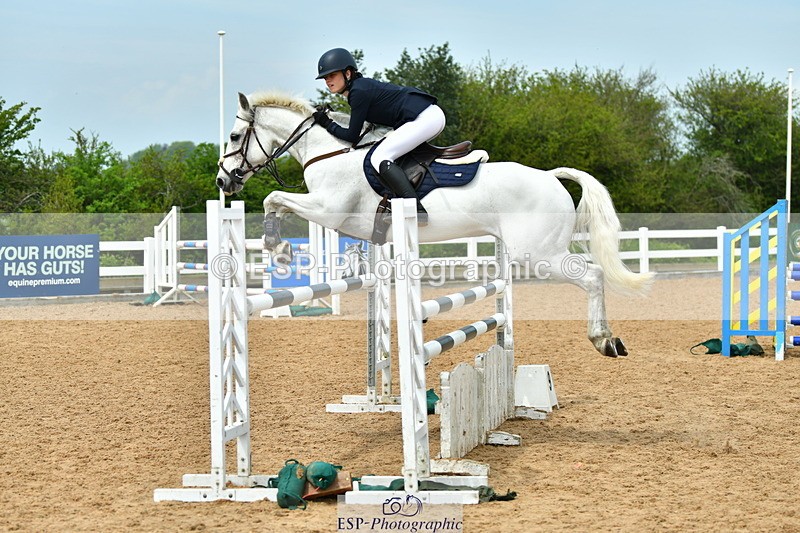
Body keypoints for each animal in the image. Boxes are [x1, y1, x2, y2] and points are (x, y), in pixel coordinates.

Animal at [216, 91, 653, 357]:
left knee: (594, 276)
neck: (330, 152)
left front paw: (278, 249)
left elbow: (275, 199)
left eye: (235, 136)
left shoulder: (328, 210)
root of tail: (549, 176)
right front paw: (280, 249)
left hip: (540, 253)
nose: (223, 181)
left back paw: (603, 340)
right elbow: (280, 204)